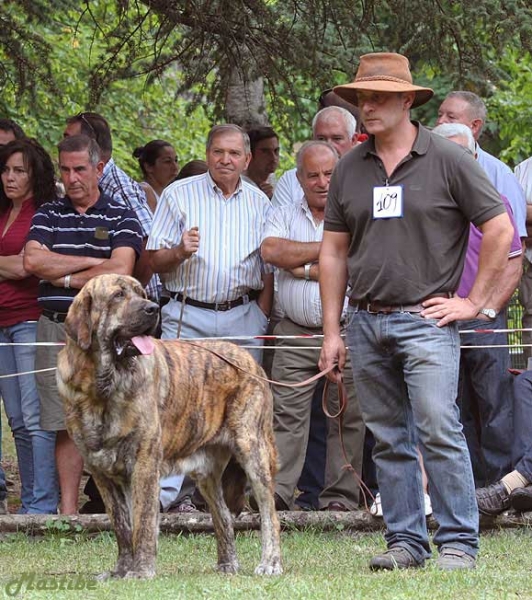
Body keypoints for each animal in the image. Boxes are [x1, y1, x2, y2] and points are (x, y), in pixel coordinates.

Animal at [56, 274, 282, 580]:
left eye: (140, 292)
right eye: (118, 295)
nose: (153, 308)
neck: (103, 387)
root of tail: (249, 361)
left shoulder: (144, 464)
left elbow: (142, 522)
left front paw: (140, 571)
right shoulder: (102, 472)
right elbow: (122, 526)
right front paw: (121, 570)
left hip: (253, 450)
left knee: (270, 514)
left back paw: (270, 563)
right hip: (206, 473)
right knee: (223, 515)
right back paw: (227, 565)